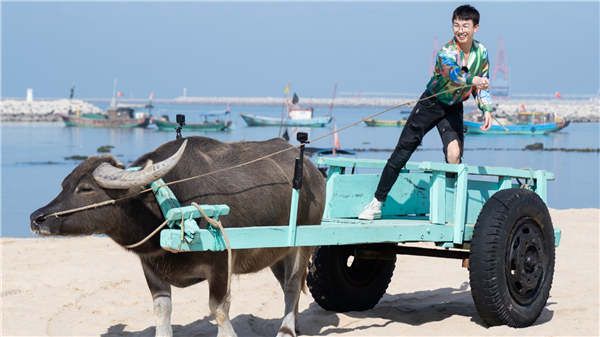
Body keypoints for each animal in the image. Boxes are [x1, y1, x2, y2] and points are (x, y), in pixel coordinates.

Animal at [30, 136, 326, 336]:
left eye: (86, 188)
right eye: (64, 184)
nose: (36, 218)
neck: (165, 206)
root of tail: (314, 173)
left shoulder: (221, 264)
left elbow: (219, 310)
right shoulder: (151, 269)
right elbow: (162, 310)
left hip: (304, 243)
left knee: (292, 285)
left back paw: (286, 330)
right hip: (277, 253)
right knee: (288, 287)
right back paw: (296, 325)